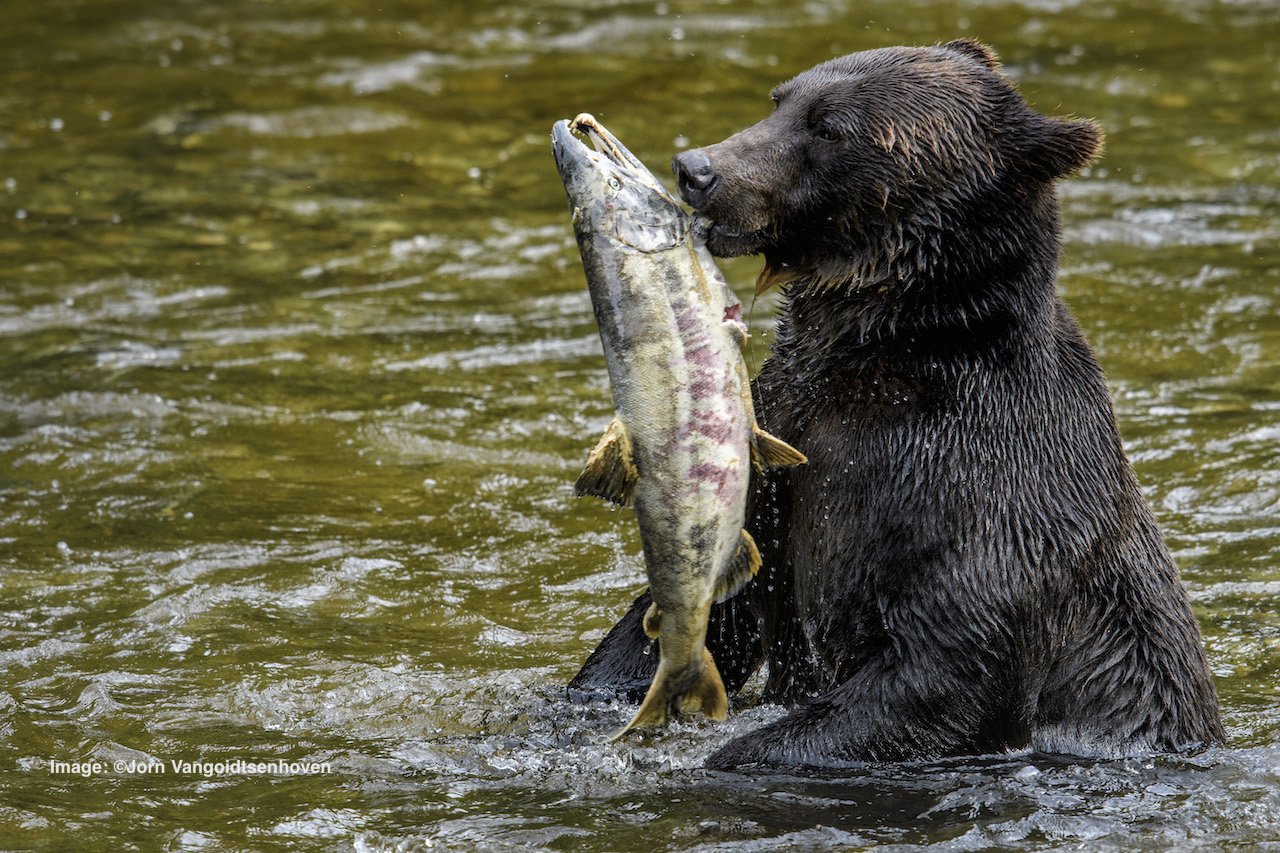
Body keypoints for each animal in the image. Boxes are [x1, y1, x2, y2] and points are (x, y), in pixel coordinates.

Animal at [568, 38, 1218, 763]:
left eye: (829, 129)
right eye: (780, 98)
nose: (696, 170)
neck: (884, 343)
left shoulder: (969, 489)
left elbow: (945, 670)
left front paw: (740, 751)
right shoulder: (781, 432)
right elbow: (725, 592)